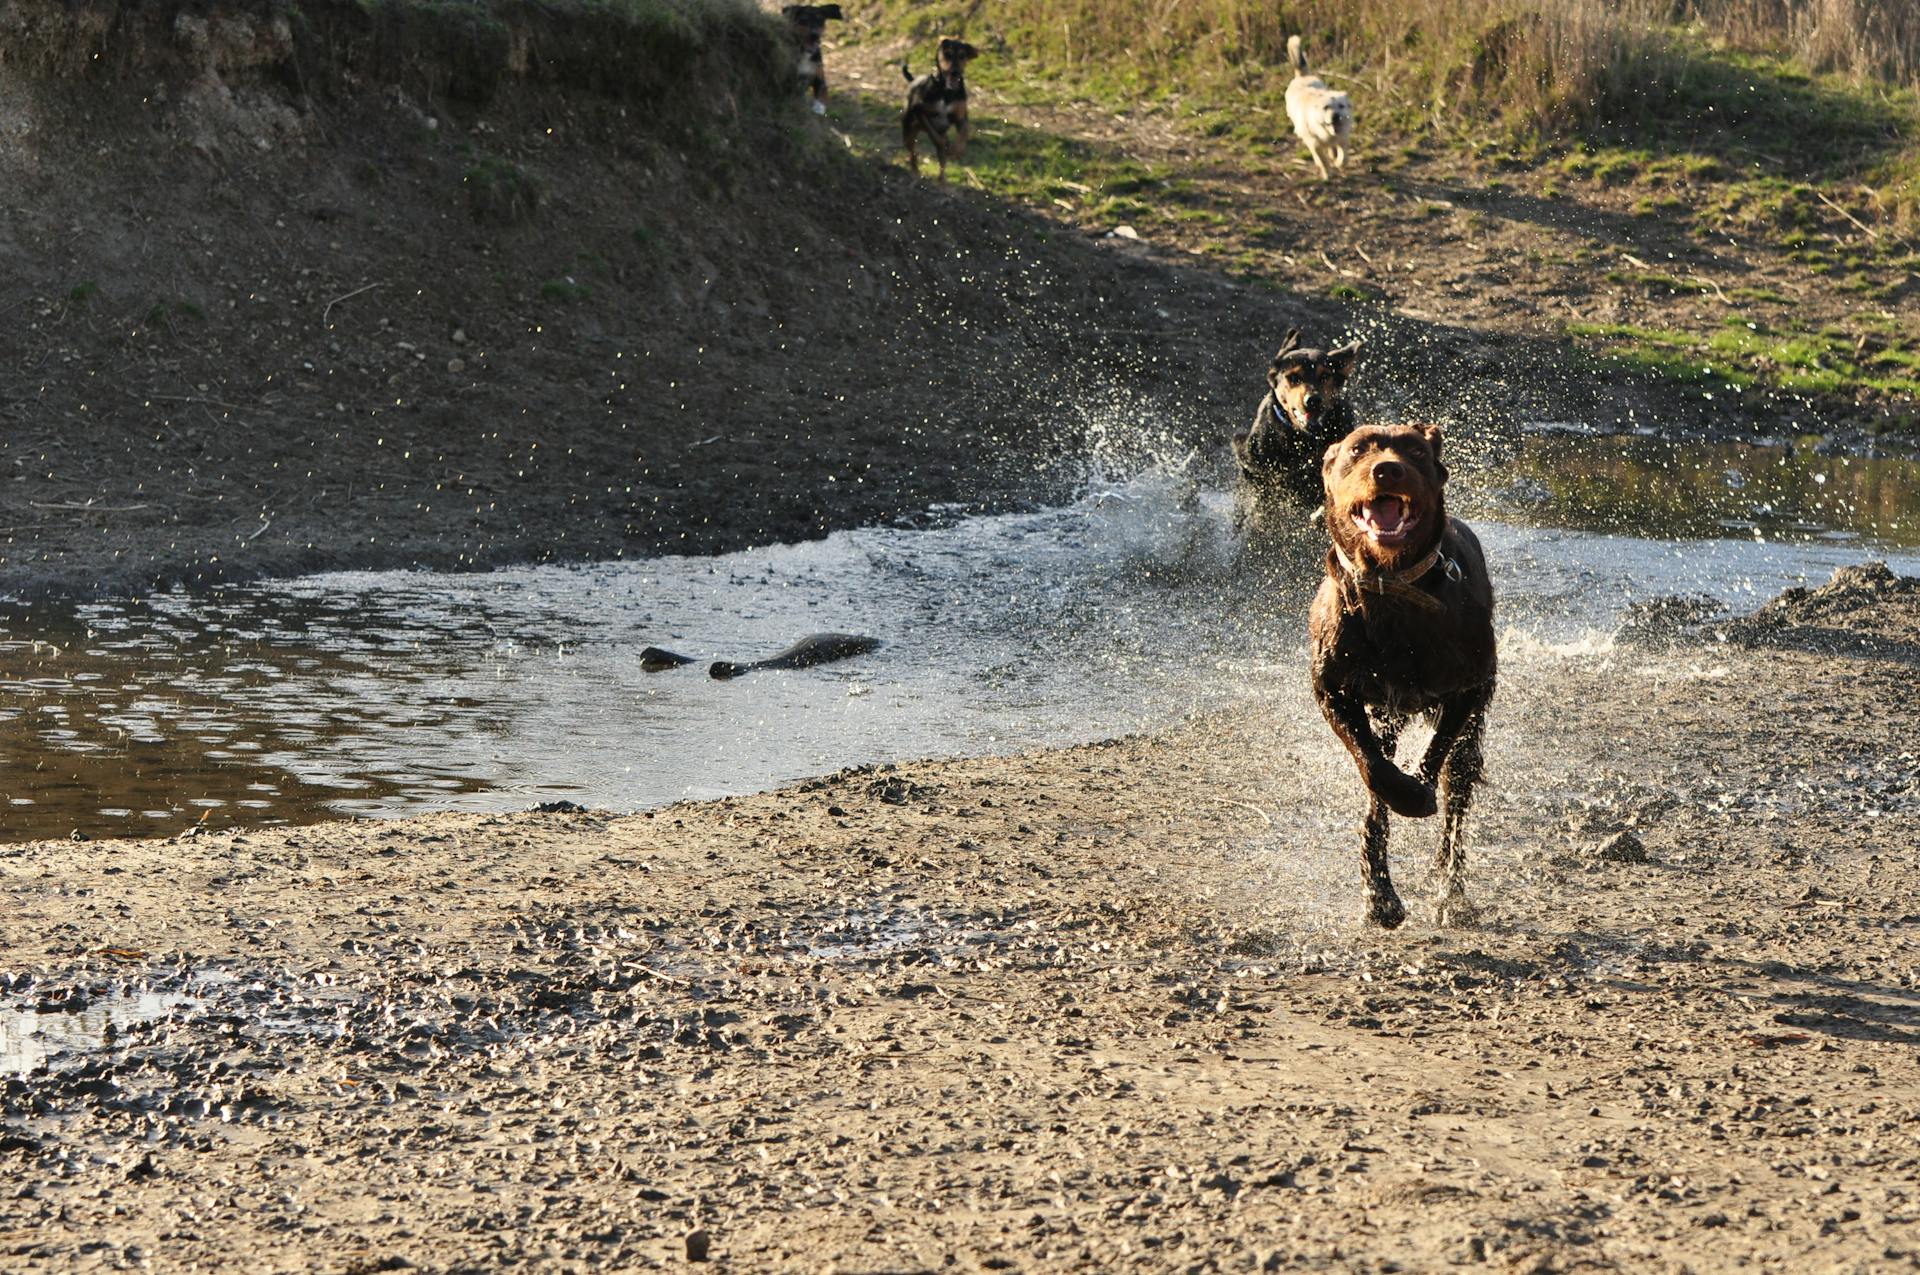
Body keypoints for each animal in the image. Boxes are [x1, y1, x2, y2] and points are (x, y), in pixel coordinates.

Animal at [902, 38, 983, 177]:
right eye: (947, 54)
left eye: (962, 56)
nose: (955, 72)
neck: (946, 91)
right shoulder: (919, 111)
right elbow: (934, 135)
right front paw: (944, 144)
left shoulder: (961, 117)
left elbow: (963, 134)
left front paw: (956, 151)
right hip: (908, 130)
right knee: (913, 151)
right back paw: (915, 170)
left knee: (942, 164)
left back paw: (942, 180)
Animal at [1290, 36, 1351, 180]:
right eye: (1326, 107)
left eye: (1341, 106)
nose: (1335, 116)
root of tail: (1302, 76)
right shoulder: (1314, 143)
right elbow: (1322, 160)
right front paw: (1327, 173)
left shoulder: (1343, 138)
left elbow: (1343, 156)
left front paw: (1339, 163)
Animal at [1305, 422, 1497, 933]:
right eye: (1356, 450)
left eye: (1414, 450)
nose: (1387, 469)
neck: (1391, 588)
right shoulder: (1333, 690)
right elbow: (1375, 771)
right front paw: (1378, 890)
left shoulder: (1469, 689)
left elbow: (1435, 757)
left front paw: (1418, 793)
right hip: (1384, 715)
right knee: (1378, 786)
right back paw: (1380, 895)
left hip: (1468, 733)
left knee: (1456, 799)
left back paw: (1450, 892)